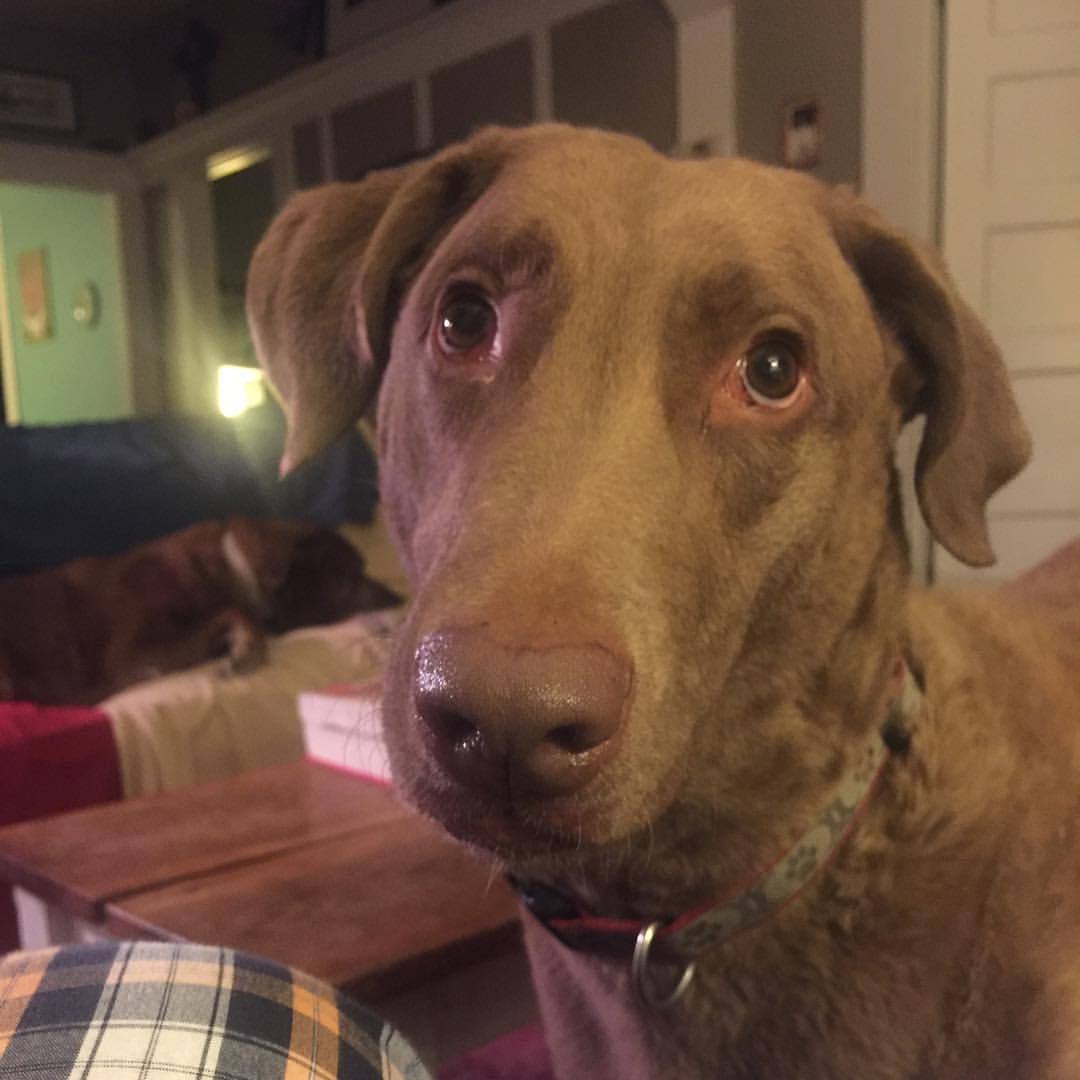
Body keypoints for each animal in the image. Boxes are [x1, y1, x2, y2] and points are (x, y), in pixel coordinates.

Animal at [0, 516, 399, 708]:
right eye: (352, 577)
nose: (399, 596)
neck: (234, 568)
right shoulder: (133, 649)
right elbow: (233, 611)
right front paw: (245, 648)